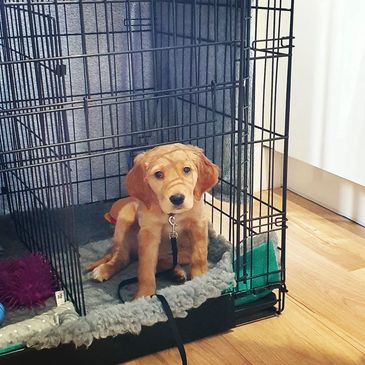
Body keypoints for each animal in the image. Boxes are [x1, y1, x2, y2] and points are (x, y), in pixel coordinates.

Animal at [86, 141, 218, 298]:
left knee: (165, 259)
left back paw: (176, 272)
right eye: (158, 174)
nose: (177, 198)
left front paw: (199, 279)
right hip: (125, 218)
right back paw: (105, 269)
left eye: (187, 169)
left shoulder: (198, 224)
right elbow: (146, 268)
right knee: (122, 257)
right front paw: (144, 295)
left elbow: (199, 256)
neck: (172, 215)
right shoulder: (149, 233)